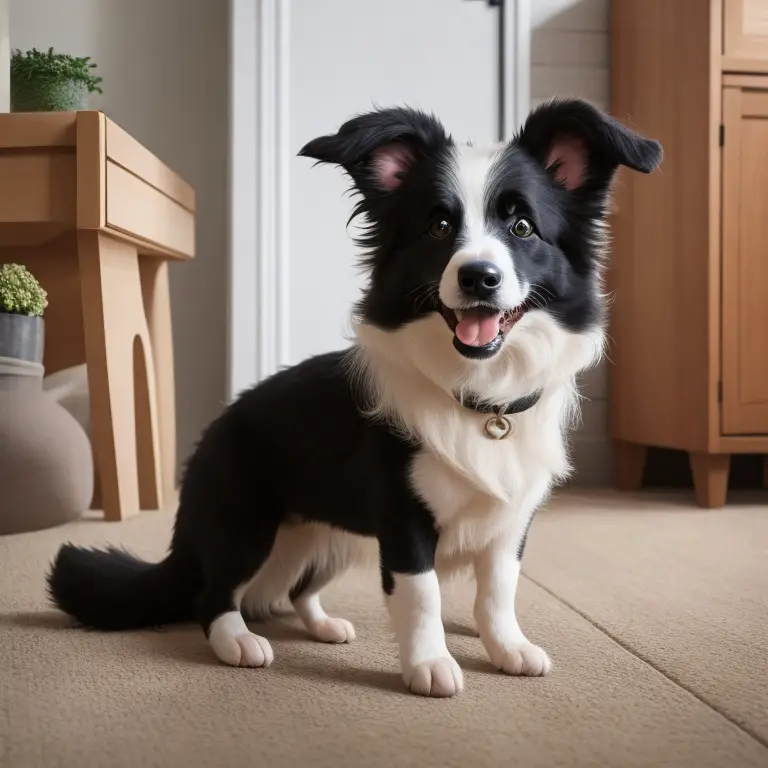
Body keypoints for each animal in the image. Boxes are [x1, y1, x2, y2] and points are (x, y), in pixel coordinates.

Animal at [48, 99, 660, 700]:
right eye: (439, 226)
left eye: (523, 226)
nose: (479, 277)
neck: (478, 395)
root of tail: (213, 431)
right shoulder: (401, 516)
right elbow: (421, 593)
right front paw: (429, 664)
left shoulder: (510, 519)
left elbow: (498, 591)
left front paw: (507, 648)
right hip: (245, 522)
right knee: (214, 591)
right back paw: (236, 641)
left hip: (328, 534)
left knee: (293, 588)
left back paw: (322, 625)